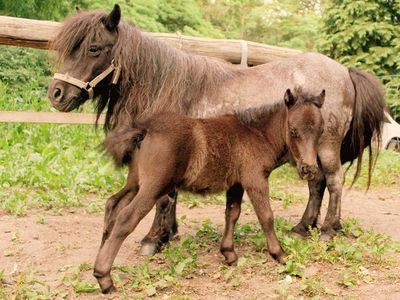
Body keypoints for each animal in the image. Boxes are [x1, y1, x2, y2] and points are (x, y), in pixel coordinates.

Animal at [48, 5, 386, 253]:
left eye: (94, 48)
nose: (56, 94)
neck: (165, 87)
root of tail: (344, 71)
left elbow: (163, 198)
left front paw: (153, 239)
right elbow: (169, 197)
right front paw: (168, 234)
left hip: (325, 147)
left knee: (334, 182)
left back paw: (328, 229)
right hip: (306, 153)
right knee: (316, 184)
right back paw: (303, 228)